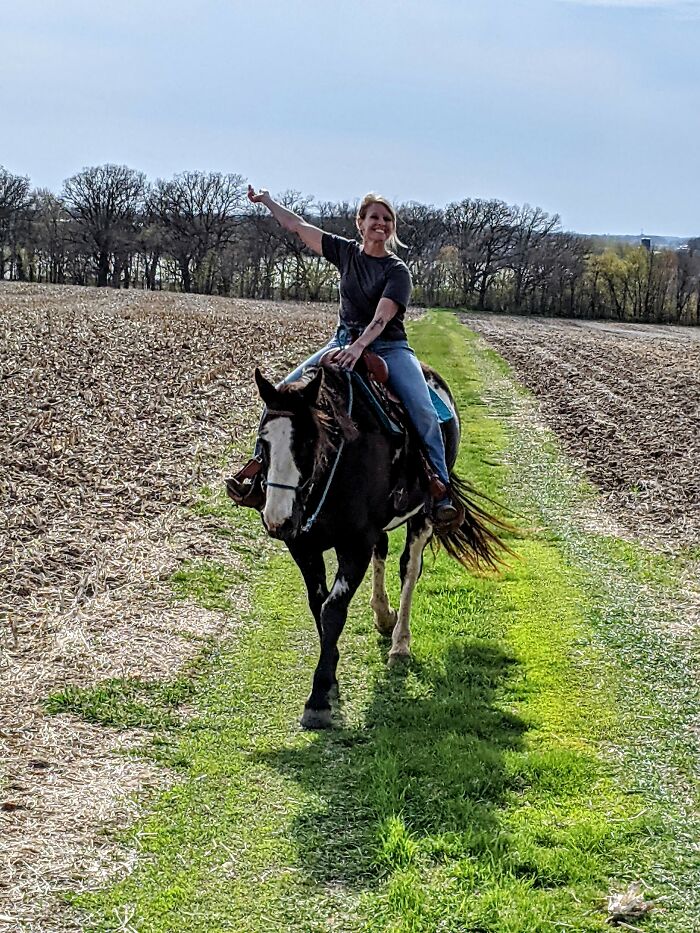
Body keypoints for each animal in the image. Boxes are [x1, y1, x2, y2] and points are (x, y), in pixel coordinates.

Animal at [235, 360, 507, 730]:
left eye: (308, 440)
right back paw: (382, 614)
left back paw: (399, 645)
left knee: (410, 569)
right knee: (384, 551)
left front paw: (319, 698)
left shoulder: (355, 545)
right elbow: (317, 605)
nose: (277, 519)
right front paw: (332, 680)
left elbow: (333, 610)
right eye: (263, 441)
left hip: (424, 516)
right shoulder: (304, 546)